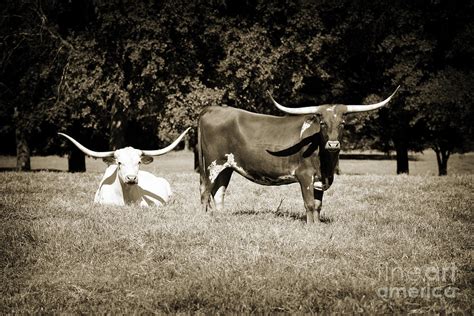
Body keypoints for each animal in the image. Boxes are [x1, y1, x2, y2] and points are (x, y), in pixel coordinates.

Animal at [198, 87, 398, 223]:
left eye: (342, 123)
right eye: (323, 123)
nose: (333, 144)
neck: (326, 163)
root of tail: (212, 109)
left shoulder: (319, 179)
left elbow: (317, 205)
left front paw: (317, 226)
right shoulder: (305, 176)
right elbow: (309, 203)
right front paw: (310, 227)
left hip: (227, 166)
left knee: (218, 192)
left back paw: (220, 218)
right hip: (212, 165)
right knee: (205, 191)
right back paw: (205, 219)